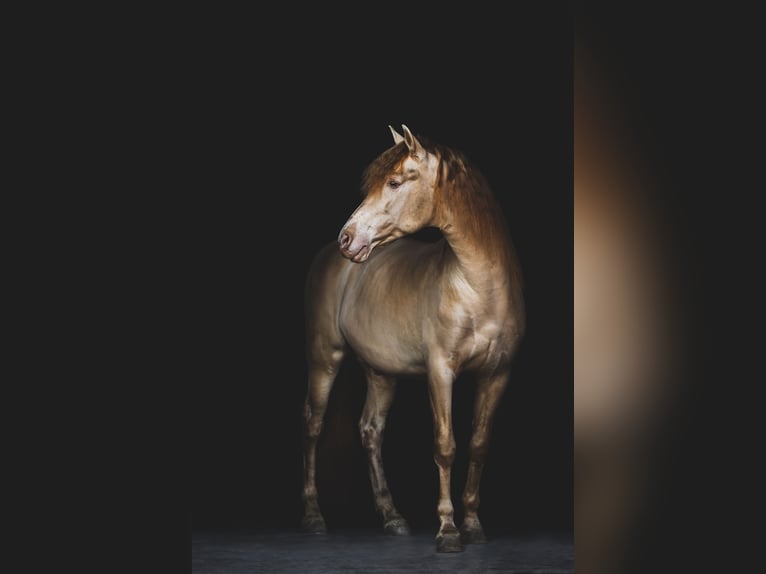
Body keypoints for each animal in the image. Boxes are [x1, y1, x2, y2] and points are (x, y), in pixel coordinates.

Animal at [301, 125, 525, 553]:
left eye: (393, 182)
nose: (348, 238)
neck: (478, 289)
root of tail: (329, 257)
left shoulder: (498, 374)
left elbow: (478, 445)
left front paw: (473, 525)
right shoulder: (440, 371)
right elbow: (445, 446)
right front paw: (448, 531)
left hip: (381, 372)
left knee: (371, 430)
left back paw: (392, 517)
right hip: (324, 357)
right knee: (314, 425)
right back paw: (314, 517)